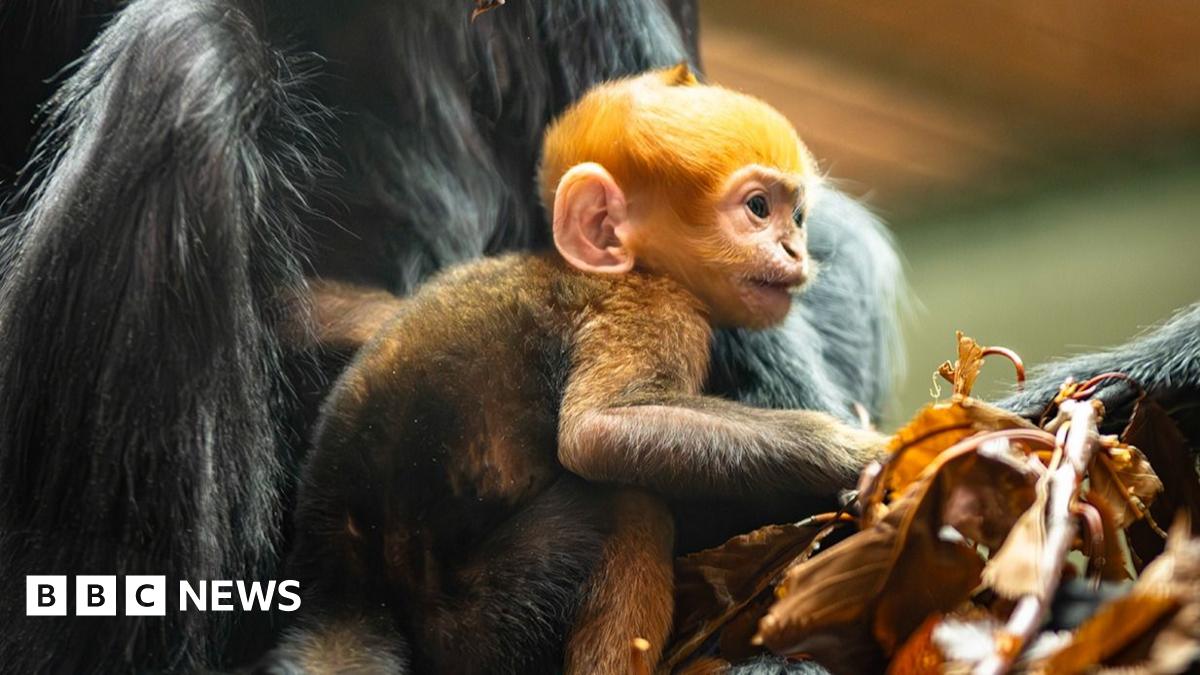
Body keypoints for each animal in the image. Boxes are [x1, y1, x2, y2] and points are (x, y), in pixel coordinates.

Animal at [272, 64, 887, 675]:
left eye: (798, 218)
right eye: (760, 209)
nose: (795, 250)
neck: (623, 269)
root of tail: (349, 582)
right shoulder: (653, 308)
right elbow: (597, 431)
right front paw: (864, 454)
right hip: (478, 623)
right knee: (626, 508)